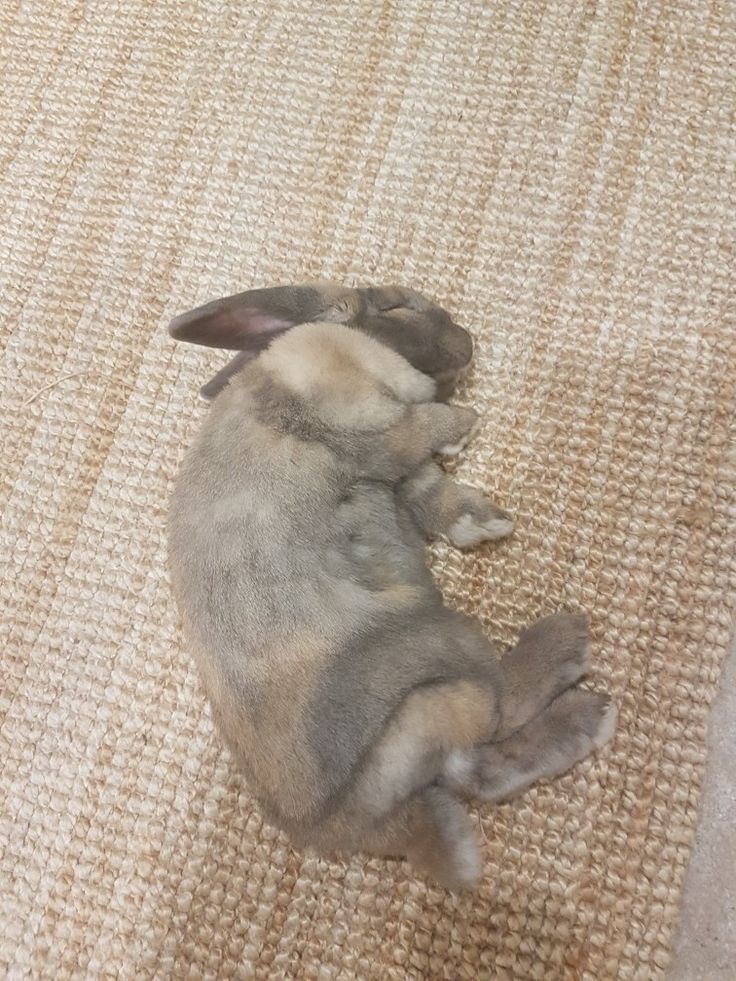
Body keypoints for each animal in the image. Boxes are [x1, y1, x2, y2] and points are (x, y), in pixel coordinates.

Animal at [168, 282, 616, 888]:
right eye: (396, 306)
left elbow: (423, 481)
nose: (467, 343)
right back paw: (570, 656)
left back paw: (577, 722)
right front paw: (463, 425)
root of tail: (346, 826)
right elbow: (416, 432)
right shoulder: (368, 420)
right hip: (445, 646)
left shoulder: (385, 465)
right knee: (500, 708)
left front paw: (476, 518)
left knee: (477, 767)